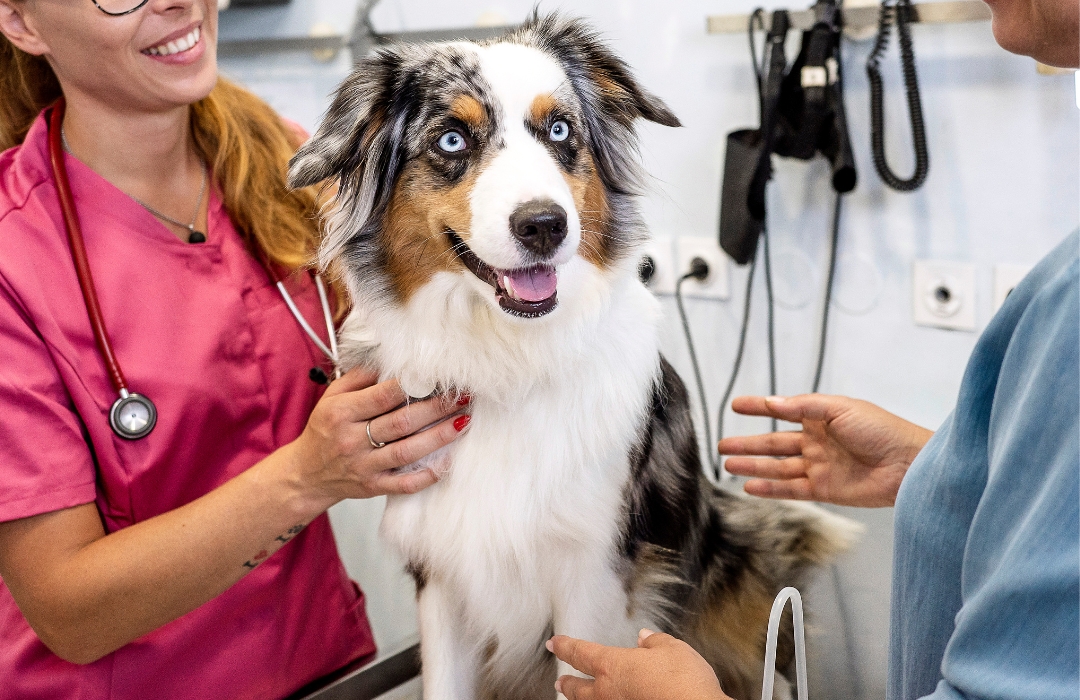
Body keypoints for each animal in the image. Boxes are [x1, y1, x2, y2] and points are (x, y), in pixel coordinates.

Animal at [289, 12, 859, 700]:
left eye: (560, 130)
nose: (544, 224)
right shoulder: (441, 574)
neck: (507, 358)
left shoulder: (593, 578)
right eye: (451, 140)